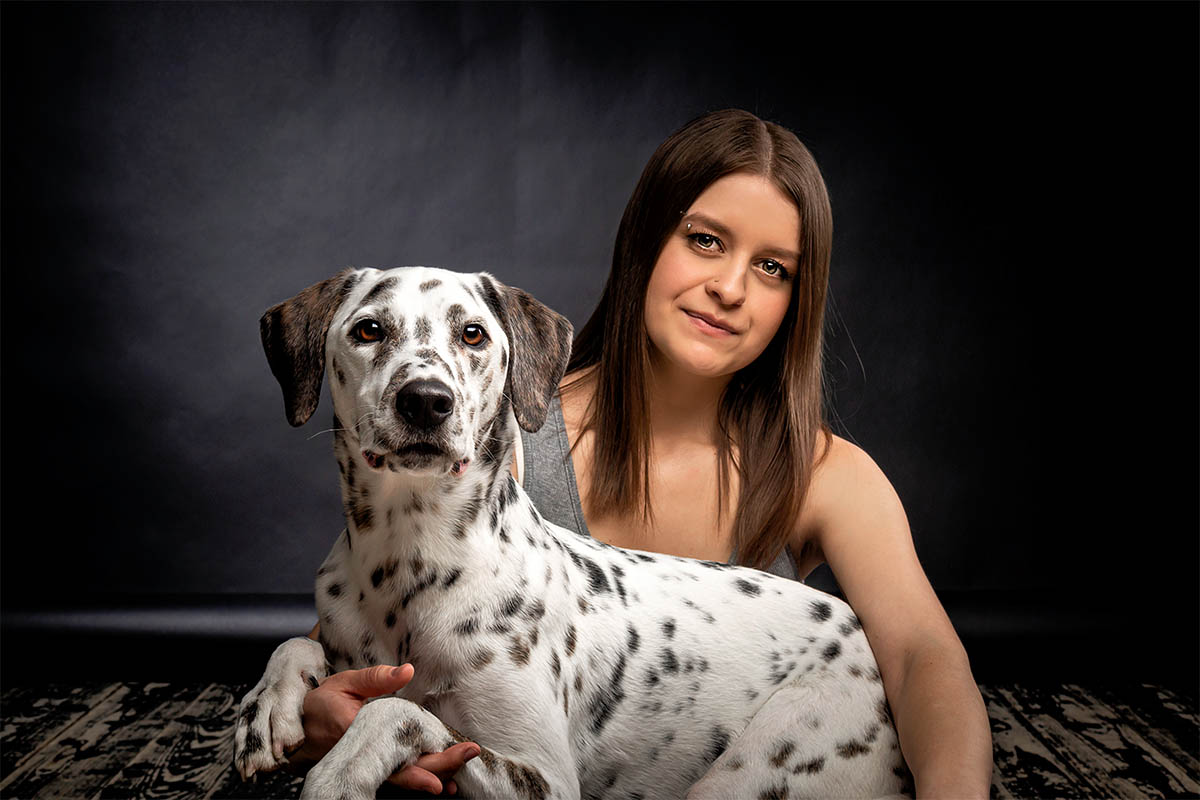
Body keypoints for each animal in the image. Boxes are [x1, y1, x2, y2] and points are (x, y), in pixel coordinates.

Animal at [231, 268, 907, 800]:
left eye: (472, 333)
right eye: (369, 330)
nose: (425, 400)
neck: (408, 557)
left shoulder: (545, 778)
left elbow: (398, 709)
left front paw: (337, 773)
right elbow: (296, 645)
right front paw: (267, 706)